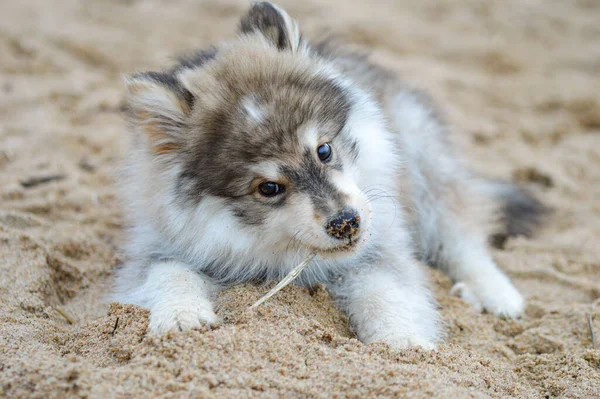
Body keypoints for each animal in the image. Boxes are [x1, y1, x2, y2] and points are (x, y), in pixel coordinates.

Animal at [111, 1, 544, 348]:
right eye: (269, 188)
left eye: (324, 150)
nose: (346, 223)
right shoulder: (158, 247)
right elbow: (167, 273)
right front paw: (182, 316)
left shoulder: (379, 249)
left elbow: (388, 294)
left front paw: (403, 341)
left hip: (424, 163)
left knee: (462, 235)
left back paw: (495, 294)